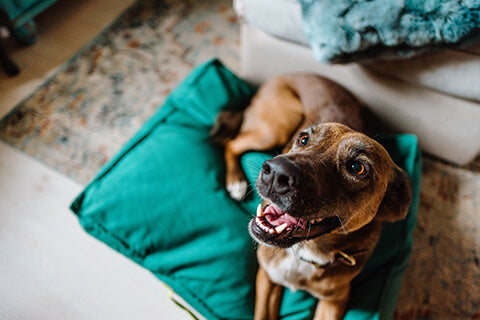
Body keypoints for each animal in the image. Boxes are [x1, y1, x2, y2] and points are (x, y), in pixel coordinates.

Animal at [212, 73, 410, 320]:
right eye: (303, 139)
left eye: (358, 167)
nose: (276, 173)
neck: (305, 250)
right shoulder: (267, 276)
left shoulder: (335, 300)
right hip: (276, 126)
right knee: (232, 143)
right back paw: (235, 182)